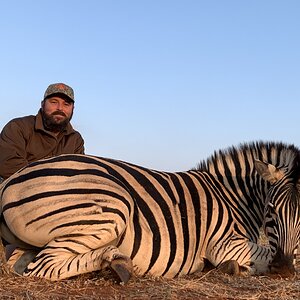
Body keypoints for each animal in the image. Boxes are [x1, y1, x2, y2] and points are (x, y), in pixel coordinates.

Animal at [0, 141, 298, 282]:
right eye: (271, 209)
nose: (284, 269)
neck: (231, 196)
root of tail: (11, 180)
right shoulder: (225, 243)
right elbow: (266, 254)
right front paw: (236, 268)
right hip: (114, 205)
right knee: (42, 266)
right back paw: (114, 262)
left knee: (23, 262)